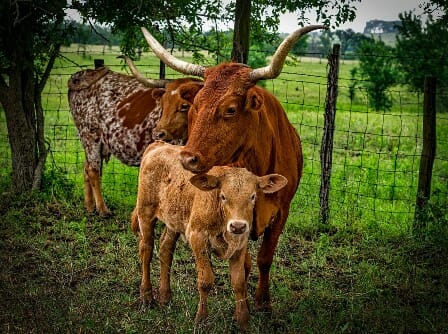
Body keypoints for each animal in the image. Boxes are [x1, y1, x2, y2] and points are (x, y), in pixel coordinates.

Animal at [67, 63, 200, 215]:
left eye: (184, 105)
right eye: (163, 104)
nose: (158, 134)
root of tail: (81, 74)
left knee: (86, 167)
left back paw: (89, 206)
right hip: (90, 134)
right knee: (93, 170)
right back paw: (102, 209)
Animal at [132, 141, 288, 328]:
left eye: (252, 196)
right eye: (223, 196)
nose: (237, 226)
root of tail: (158, 145)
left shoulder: (240, 244)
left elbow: (239, 281)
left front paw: (243, 322)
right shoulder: (198, 238)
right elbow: (205, 280)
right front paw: (201, 318)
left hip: (173, 219)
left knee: (165, 250)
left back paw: (165, 296)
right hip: (145, 212)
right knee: (146, 250)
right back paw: (147, 296)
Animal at [141, 23, 326, 310]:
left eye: (230, 110)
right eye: (194, 107)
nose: (187, 158)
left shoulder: (282, 211)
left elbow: (265, 258)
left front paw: (263, 303)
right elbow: (247, 263)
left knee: (165, 244)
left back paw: (164, 294)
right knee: (151, 245)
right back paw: (150, 294)